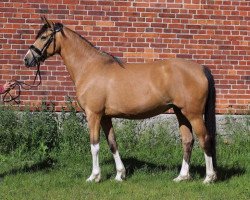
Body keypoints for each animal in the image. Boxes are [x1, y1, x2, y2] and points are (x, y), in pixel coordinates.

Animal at [23, 17, 217, 183]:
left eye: (43, 37)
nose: (27, 59)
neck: (89, 67)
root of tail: (201, 68)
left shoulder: (93, 115)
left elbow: (94, 145)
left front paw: (94, 177)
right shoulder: (105, 117)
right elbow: (112, 143)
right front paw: (119, 175)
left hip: (193, 114)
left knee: (204, 139)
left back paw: (209, 178)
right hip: (180, 112)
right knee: (188, 141)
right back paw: (182, 176)